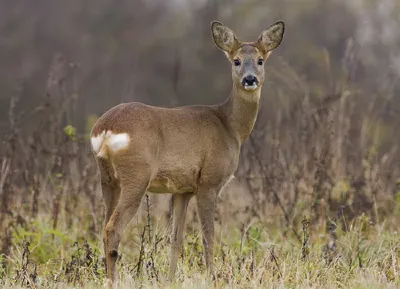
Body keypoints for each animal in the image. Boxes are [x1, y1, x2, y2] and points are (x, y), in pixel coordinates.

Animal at [90, 19, 284, 282]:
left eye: (260, 60)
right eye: (236, 61)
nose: (250, 79)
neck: (229, 125)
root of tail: (106, 129)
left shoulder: (182, 190)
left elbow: (175, 239)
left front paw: (170, 279)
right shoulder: (209, 181)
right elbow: (208, 238)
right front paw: (213, 277)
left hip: (108, 180)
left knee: (104, 226)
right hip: (136, 175)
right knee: (112, 228)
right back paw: (114, 281)